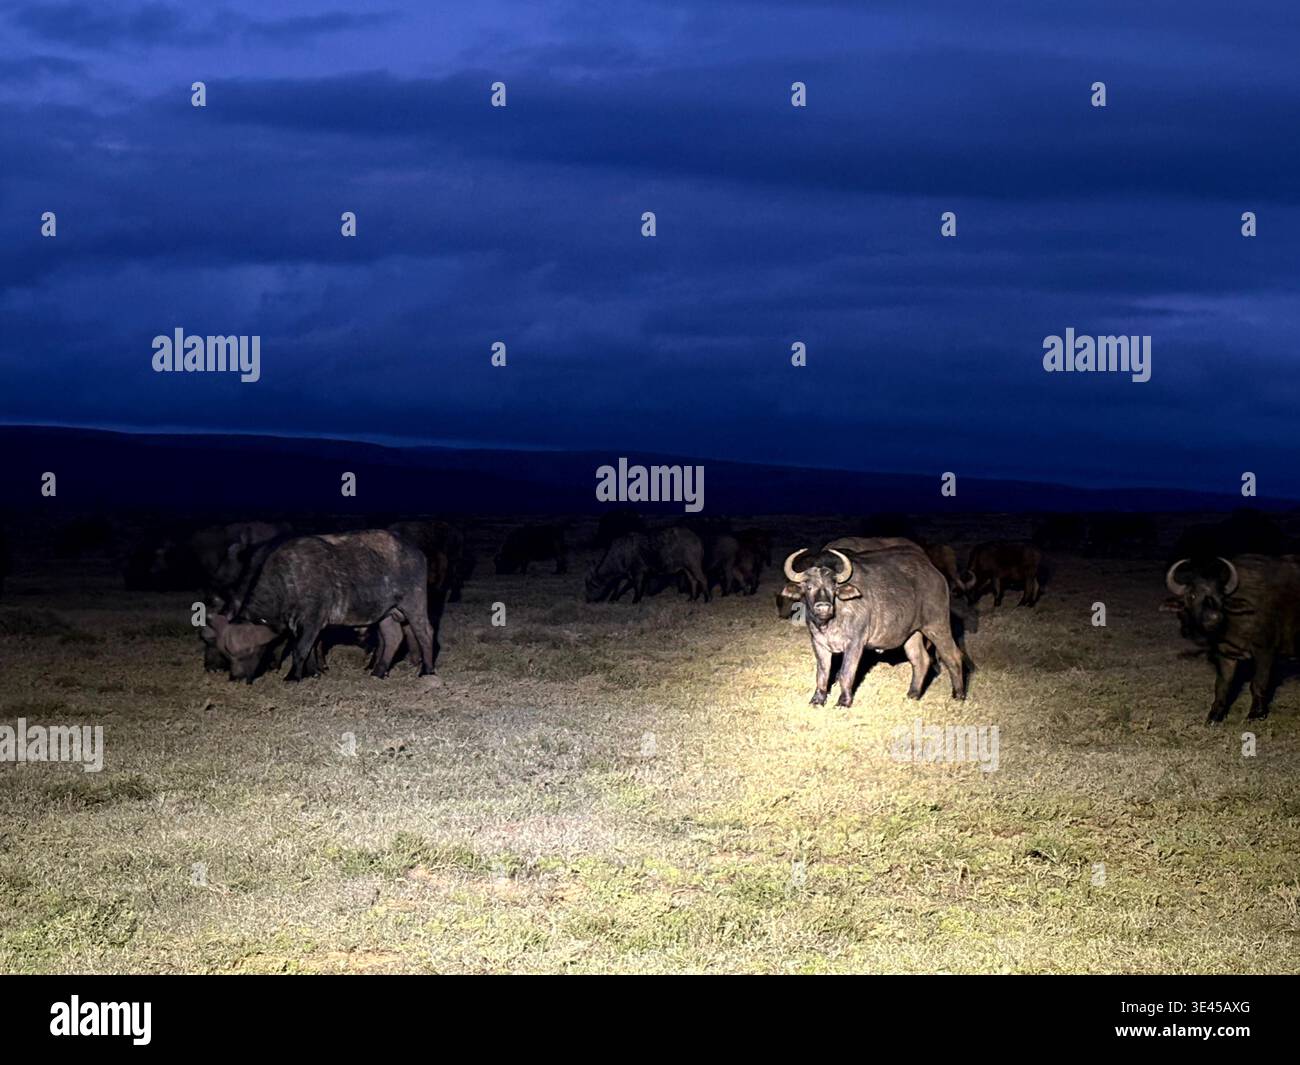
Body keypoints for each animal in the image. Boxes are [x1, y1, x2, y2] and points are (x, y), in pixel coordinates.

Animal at [781, 546, 965, 706]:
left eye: (833, 587)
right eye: (808, 586)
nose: (823, 607)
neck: (831, 622)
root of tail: (936, 574)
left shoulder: (855, 643)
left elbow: (845, 673)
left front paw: (843, 702)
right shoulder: (819, 643)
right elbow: (822, 673)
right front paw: (818, 699)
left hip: (937, 625)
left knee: (953, 656)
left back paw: (958, 695)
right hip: (913, 633)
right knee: (920, 659)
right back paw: (913, 694)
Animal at [1165, 554, 1300, 723]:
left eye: (1221, 596)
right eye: (1192, 595)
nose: (1214, 617)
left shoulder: (1265, 651)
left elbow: (1258, 683)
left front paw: (1256, 714)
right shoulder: (1225, 654)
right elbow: (1223, 685)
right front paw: (1215, 715)